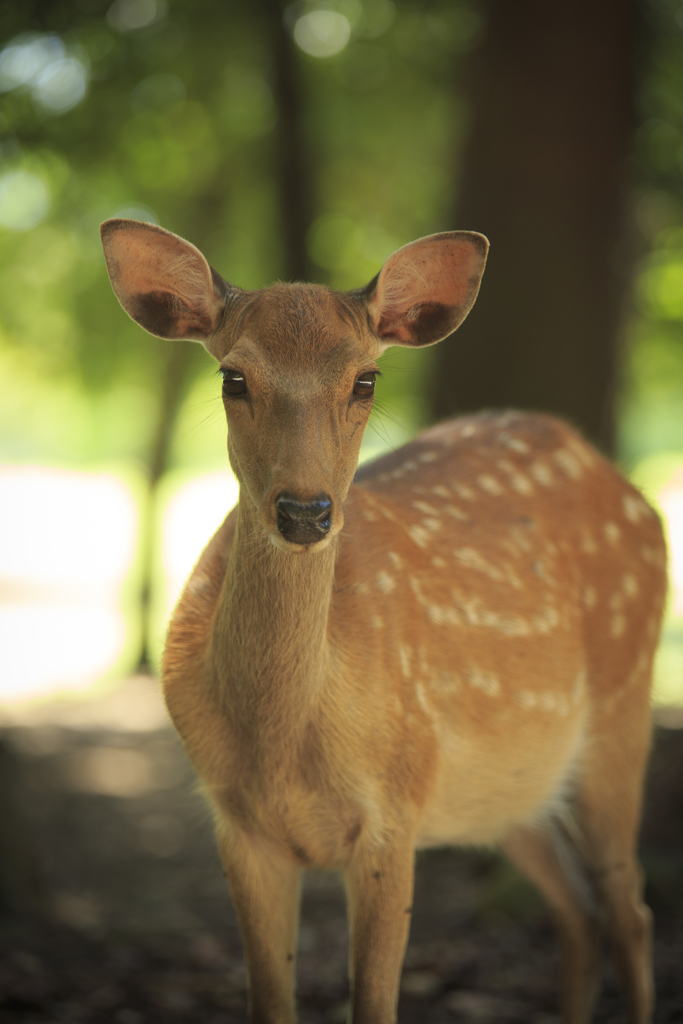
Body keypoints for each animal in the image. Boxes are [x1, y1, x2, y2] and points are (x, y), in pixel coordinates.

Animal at [101, 218, 667, 1024]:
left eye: (366, 380)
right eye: (233, 377)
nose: (305, 512)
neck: (282, 742)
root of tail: (623, 483)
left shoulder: (394, 810)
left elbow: (373, 1003)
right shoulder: (238, 826)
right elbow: (271, 1002)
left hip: (622, 714)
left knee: (630, 911)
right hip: (510, 789)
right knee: (578, 912)